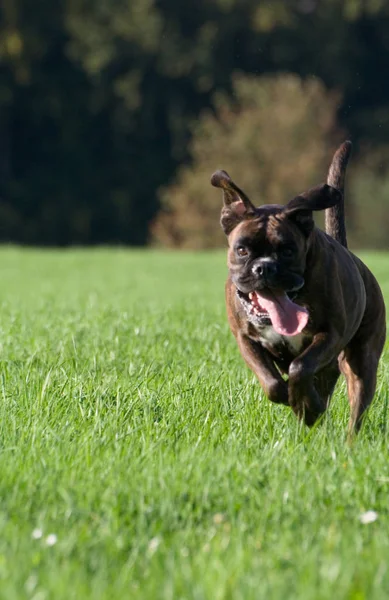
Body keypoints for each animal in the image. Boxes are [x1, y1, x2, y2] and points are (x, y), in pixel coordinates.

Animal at [212, 141, 384, 432]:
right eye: (242, 250)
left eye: (288, 251)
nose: (265, 267)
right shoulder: (245, 339)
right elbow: (271, 382)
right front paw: (294, 400)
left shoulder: (329, 335)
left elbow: (300, 367)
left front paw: (306, 406)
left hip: (362, 361)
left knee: (355, 410)